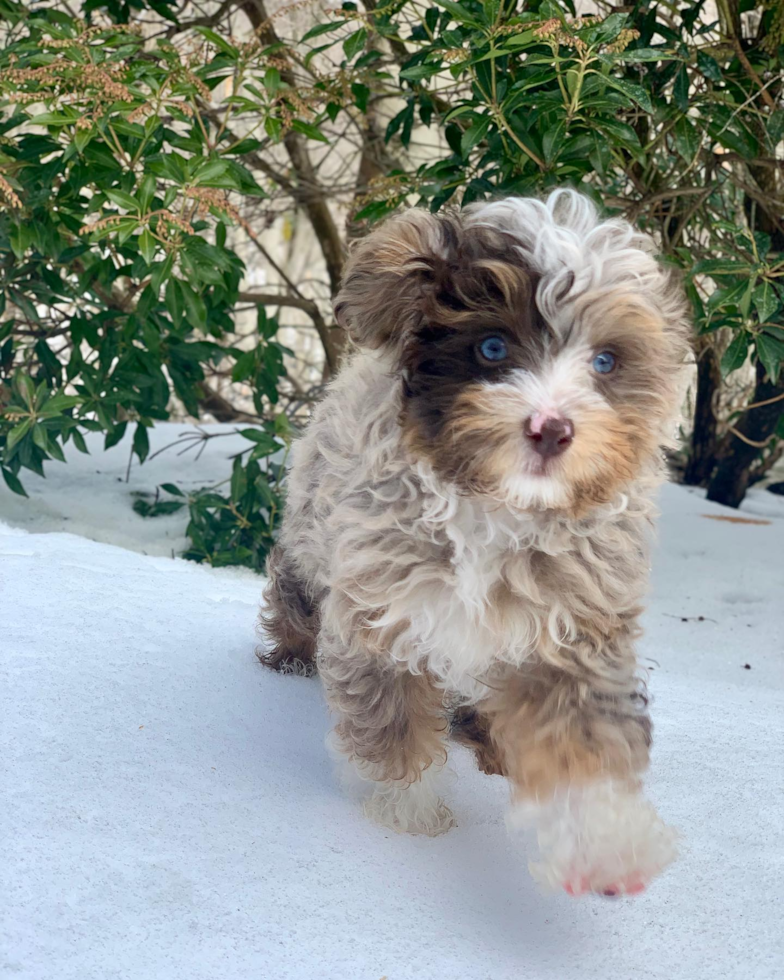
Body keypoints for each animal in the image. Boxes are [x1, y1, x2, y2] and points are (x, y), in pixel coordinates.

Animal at [260, 188, 688, 900]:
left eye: (605, 361)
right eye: (492, 347)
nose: (552, 428)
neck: (498, 510)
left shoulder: (575, 629)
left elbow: (585, 744)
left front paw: (605, 846)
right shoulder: (383, 612)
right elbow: (395, 726)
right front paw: (409, 813)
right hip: (304, 550)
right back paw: (291, 655)